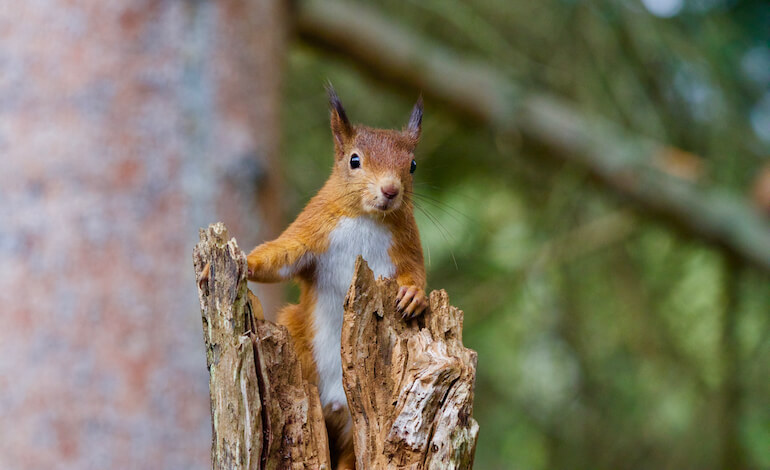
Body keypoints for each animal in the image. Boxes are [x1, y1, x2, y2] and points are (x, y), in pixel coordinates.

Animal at [201, 86, 428, 470]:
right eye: (354, 160)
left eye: (412, 165)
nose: (390, 190)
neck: (366, 218)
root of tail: (335, 404)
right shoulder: (312, 230)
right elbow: (281, 256)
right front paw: (242, 261)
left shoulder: (407, 244)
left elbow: (416, 272)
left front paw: (414, 295)